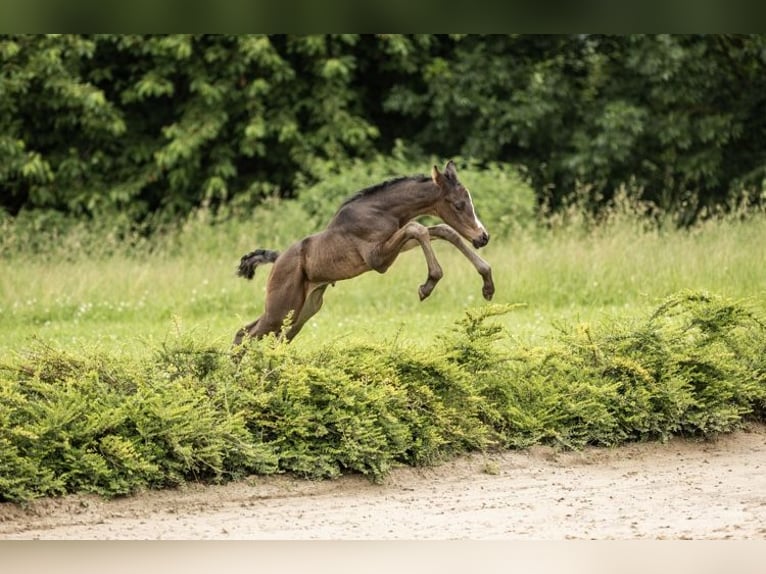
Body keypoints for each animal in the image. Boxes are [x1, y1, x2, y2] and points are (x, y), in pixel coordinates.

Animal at [234, 160, 496, 344]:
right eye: (459, 205)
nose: (483, 237)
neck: (381, 211)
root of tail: (278, 259)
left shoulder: (396, 245)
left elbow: (442, 230)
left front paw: (488, 285)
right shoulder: (377, 259)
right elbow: (418, 228)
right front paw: (428, 284)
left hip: (300, 312)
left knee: (263, 336)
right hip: (281, 309)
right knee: (244, 334)